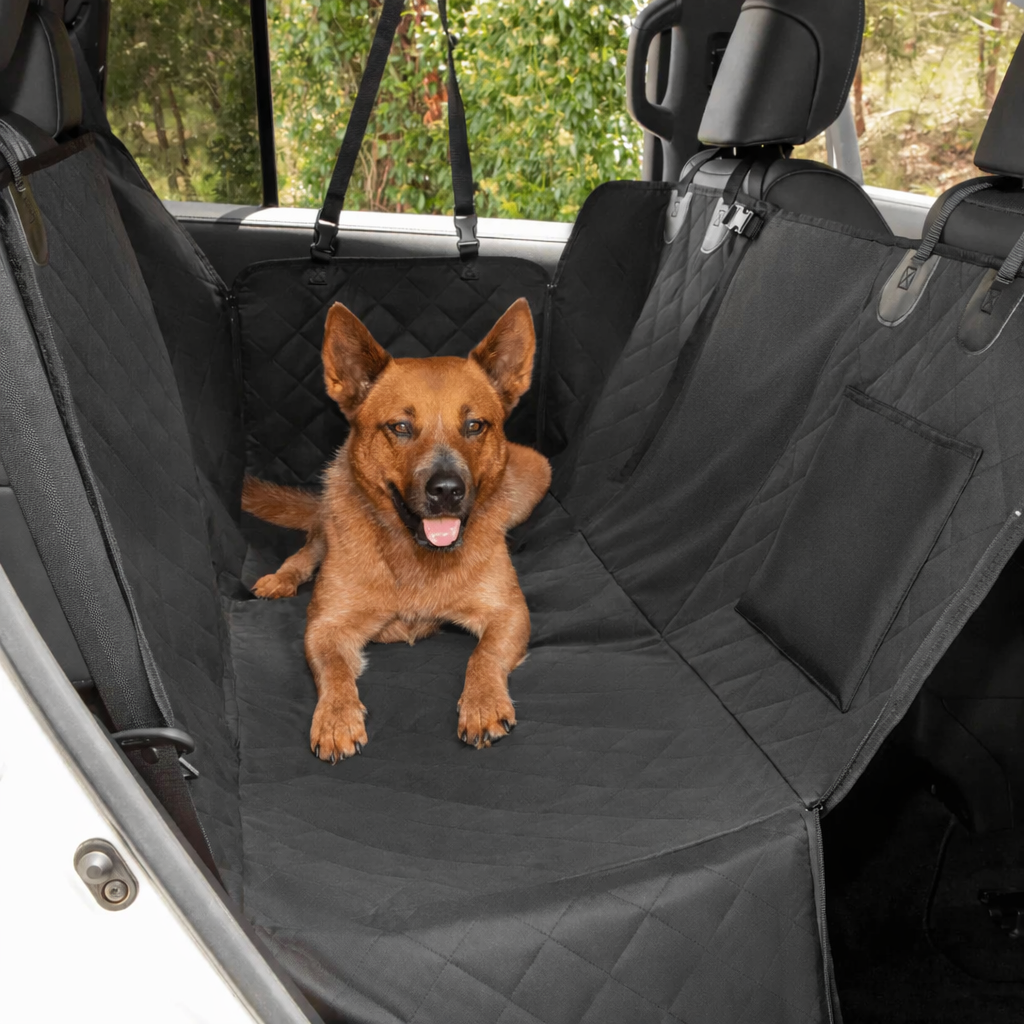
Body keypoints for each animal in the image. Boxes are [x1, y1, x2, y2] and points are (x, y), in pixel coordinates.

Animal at [242, 299, 551, 762]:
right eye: (401, 427)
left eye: (475, 425)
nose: (447, 491)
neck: (415, 555)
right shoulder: (325, 627)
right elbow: (334, 670)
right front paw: (336, 717)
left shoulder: (509, 613)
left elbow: (483, 656)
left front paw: (482, 703)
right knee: (311, 543)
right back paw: (284, 576)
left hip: (535, 477)